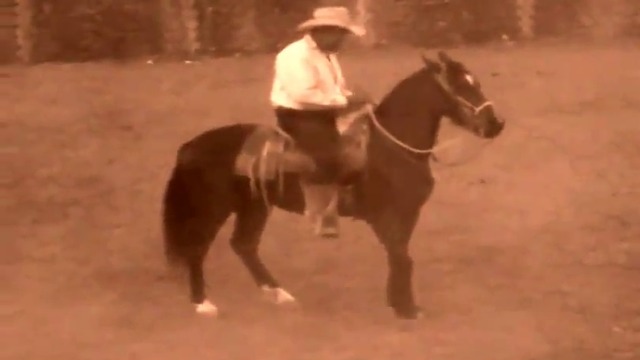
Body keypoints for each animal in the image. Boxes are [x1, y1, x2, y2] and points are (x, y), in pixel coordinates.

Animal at [160, 51, 504, 320]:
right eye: (460, 86)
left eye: (476, 82)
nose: (495, 125)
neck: (389, 147)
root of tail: (191, 146)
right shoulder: (385, 218)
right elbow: (402, 257)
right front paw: (406, 309)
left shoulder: (406, 216)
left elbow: (400, 257)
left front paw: (400, 304)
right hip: (212, 209)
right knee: (197, 249)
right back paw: (203, 304)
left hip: (254, 206)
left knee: (243, 245)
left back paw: (280, 295)